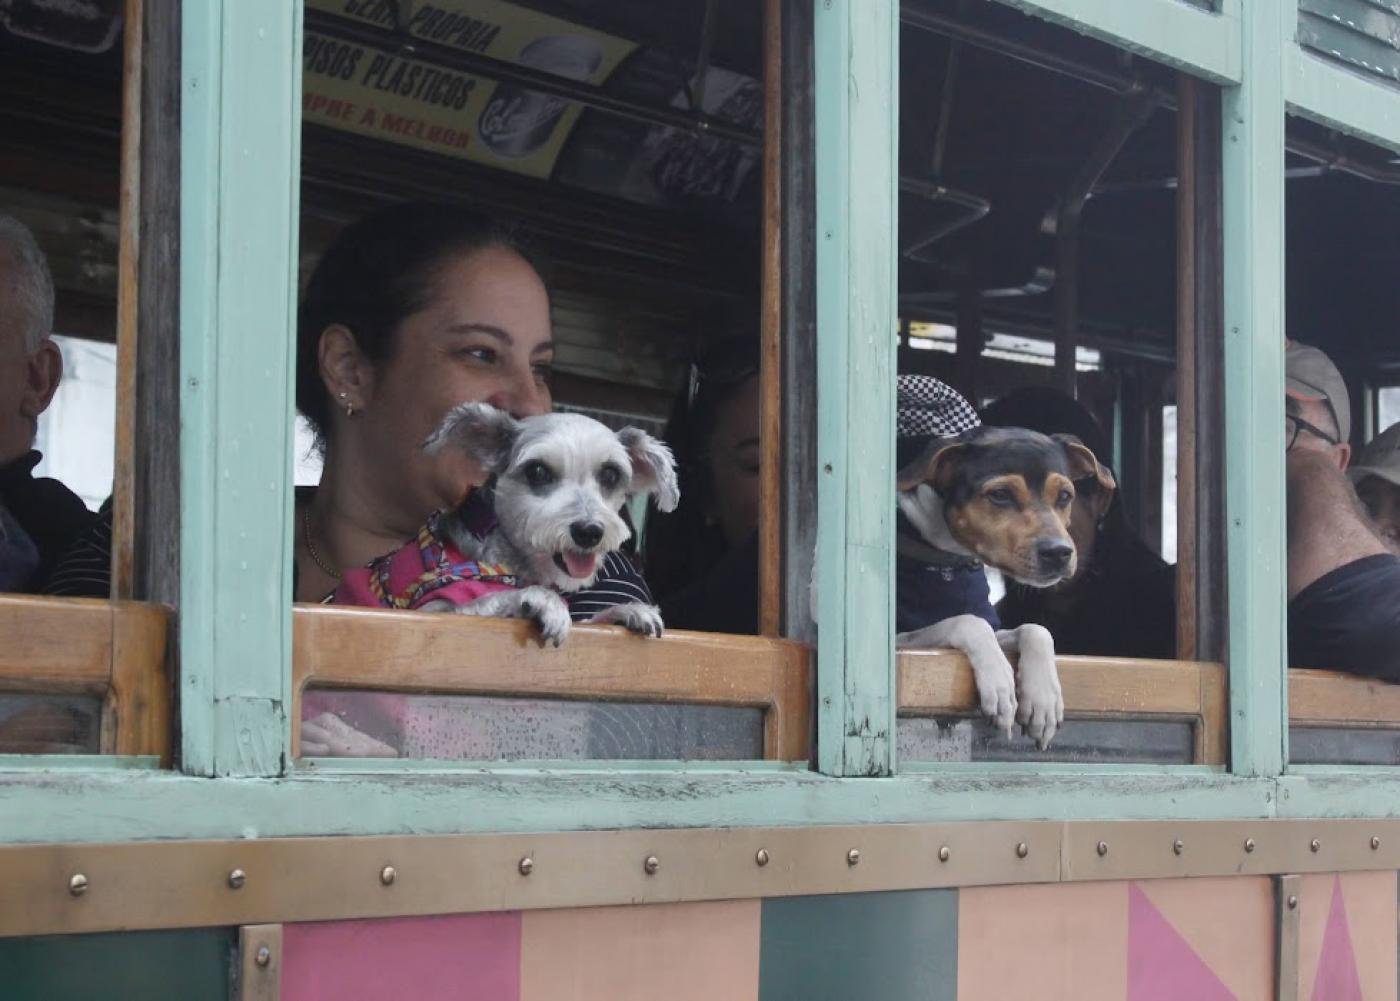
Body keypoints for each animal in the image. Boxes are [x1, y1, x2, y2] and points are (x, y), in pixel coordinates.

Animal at [414, 400, 677, 646]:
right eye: (537, 471)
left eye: (610, 474)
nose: (589, 532)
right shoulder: (433, 610)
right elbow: (486, 599)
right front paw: (542, 601)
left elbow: (590, 621)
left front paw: (627, 611)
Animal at [896, 425, 1114, 750]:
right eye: (1000, 495)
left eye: (1065, 496)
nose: (1059, 553)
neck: (948, 561)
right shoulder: (899, 639)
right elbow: (969, 622)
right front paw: (999, 683)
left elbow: (1036, 630)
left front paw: (1043, 700)